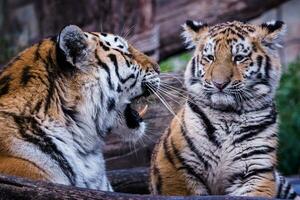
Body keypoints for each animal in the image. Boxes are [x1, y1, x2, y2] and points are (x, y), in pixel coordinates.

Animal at [150, 20, 298, 198]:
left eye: (239, 58)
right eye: (210, 57)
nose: (219, 83)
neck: (228, 115)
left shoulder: (256, 170)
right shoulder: (175, 168)